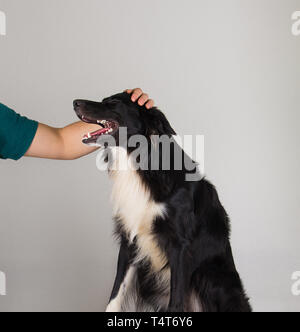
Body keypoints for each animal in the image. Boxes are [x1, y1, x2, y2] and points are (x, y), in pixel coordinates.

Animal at [74, 92, 252, 312]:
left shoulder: (179, 245)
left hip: (210, 274)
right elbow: (115, 294)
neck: (139, 163)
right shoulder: (129, 240)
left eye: (113, 103)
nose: (75, 103)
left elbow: (175, 302)